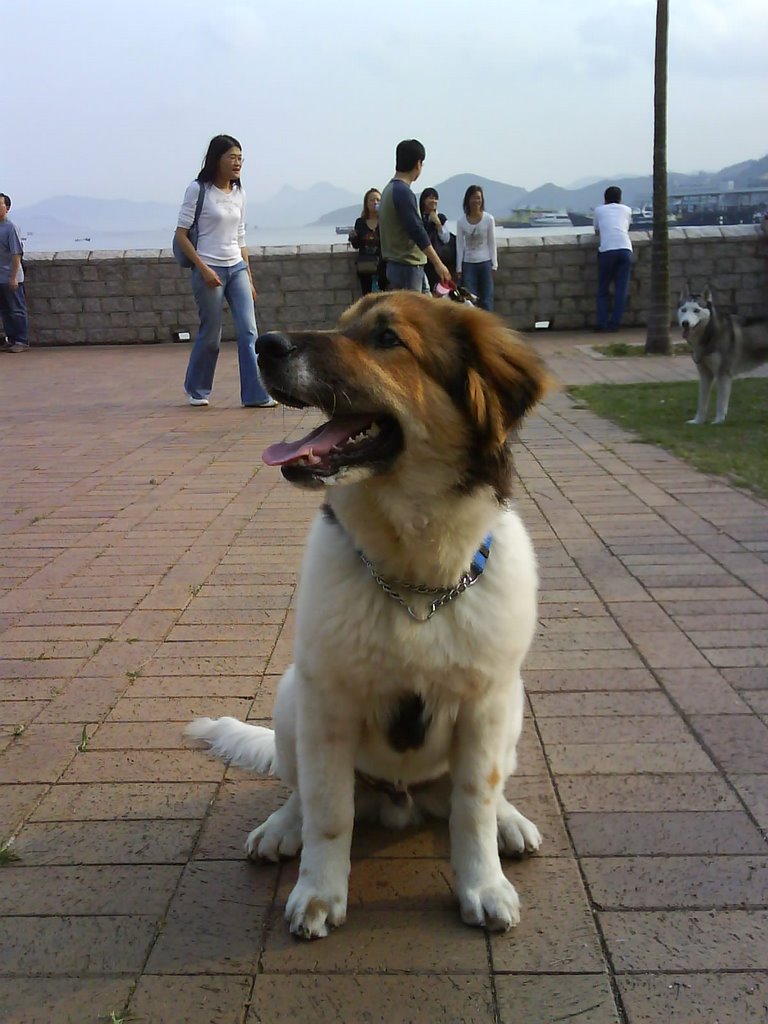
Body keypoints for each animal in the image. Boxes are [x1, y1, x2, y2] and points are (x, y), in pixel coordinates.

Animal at [190, 288, 557, 937]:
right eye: (341, 325)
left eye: (388, 338)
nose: (265, 344)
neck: (415, 583)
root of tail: (400, 800)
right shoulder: (328, 703)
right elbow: (329, 810)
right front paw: (318, 892)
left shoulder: (486, 705)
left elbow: (473, 806)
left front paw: (484, 885)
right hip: (292, 698)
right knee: (305, 793)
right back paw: (282, 827)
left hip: (511, 712)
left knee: (478, 795)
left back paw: (510, 822)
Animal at [679, 284, 768, 423]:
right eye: (683, 310)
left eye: (696, 310)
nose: (685, 323)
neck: (710, 333)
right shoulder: (705, 375)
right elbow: (702, 403)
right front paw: (698, 421)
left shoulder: (723, 373)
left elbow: (721, 403)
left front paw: (718, 421)